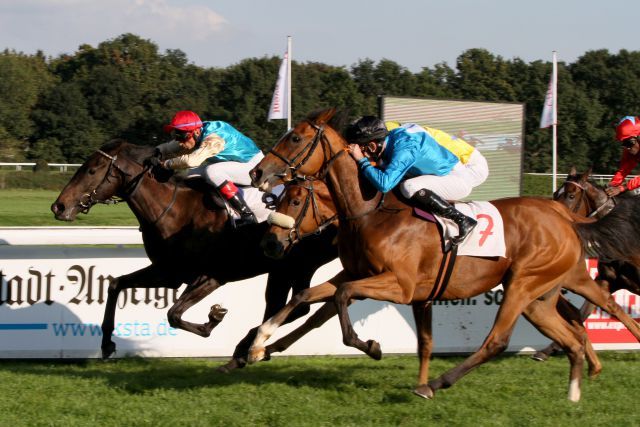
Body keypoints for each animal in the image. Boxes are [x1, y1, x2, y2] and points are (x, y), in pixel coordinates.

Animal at [51, 140, 336, 372]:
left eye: (91, 170)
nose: (59, 206)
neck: (175, 210)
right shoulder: (168, 272)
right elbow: (116, 284)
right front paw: (107, 343)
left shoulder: (212, 275)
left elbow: (173, 314)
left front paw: (213, 318)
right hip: (287, 269)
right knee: (289, 306)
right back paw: (246, 350)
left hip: (294, 266)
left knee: (291, 306)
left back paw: (245, 350)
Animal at [248, 108, 640, 402]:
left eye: (295, 137)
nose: (256, 171)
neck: (371, 210)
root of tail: (564, 217)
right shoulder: (359, 274)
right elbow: (306, 295)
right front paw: (258, 343)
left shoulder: (401, 285)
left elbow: (342, 299)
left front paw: (371, 346)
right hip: (539, 297)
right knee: (572, 332)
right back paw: (574, 388)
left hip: (524, 285)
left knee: (499, 340)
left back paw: (434, 384)